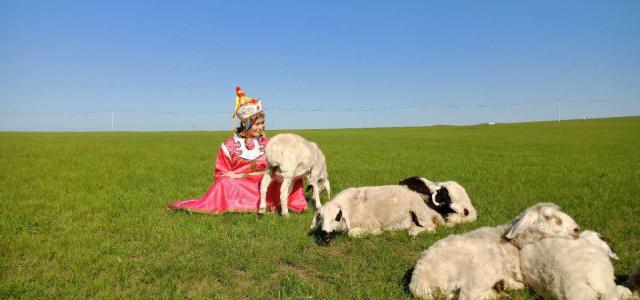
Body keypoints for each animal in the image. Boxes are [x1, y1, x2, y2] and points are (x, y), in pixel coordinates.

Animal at [310, 185, 444, 244]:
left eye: (337, 216)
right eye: (321, 217)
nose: (325, 234)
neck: (350, 206)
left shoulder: (370, 223)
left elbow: (352, 233)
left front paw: (377, 232)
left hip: (419, 210)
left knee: (431, 228)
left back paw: (414, 231)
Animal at [408, 203, 584, 298]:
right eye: (548, 217)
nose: (577, 230)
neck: (512, 244)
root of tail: (419, 283)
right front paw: (512, 285)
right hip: (475, 274)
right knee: (466, 297)